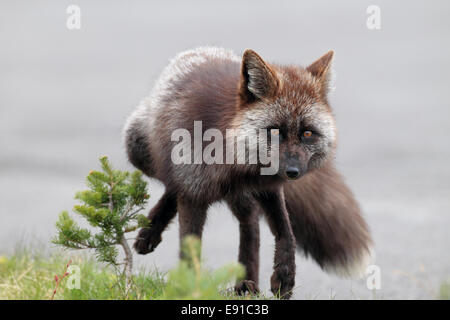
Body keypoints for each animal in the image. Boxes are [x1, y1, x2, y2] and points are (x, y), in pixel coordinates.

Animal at [123, 46, 372, 298]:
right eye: (275, 132)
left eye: (308, 134)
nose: (293, 172)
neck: (236, 165)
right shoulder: (194, 194)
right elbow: (190, 249)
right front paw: (190, 287)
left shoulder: (269, 187)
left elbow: (286, 233)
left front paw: (284, 277)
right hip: (137, 149)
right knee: (172, 186)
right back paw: (151, 232)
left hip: (243, 197)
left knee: (251, 225)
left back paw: (246, 282)